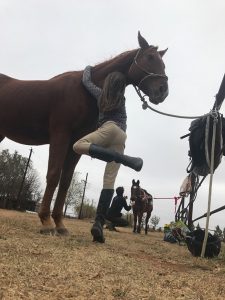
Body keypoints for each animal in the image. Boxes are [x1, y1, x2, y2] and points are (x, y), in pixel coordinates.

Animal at [0, 31, 168, 236]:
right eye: (150, 57)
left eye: (163, 62)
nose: (163, 91)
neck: (83, 91)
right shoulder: (60, 135)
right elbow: (53, 175)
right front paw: (46, 222)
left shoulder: (76, 142)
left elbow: (65, 181)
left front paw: (60, 224)